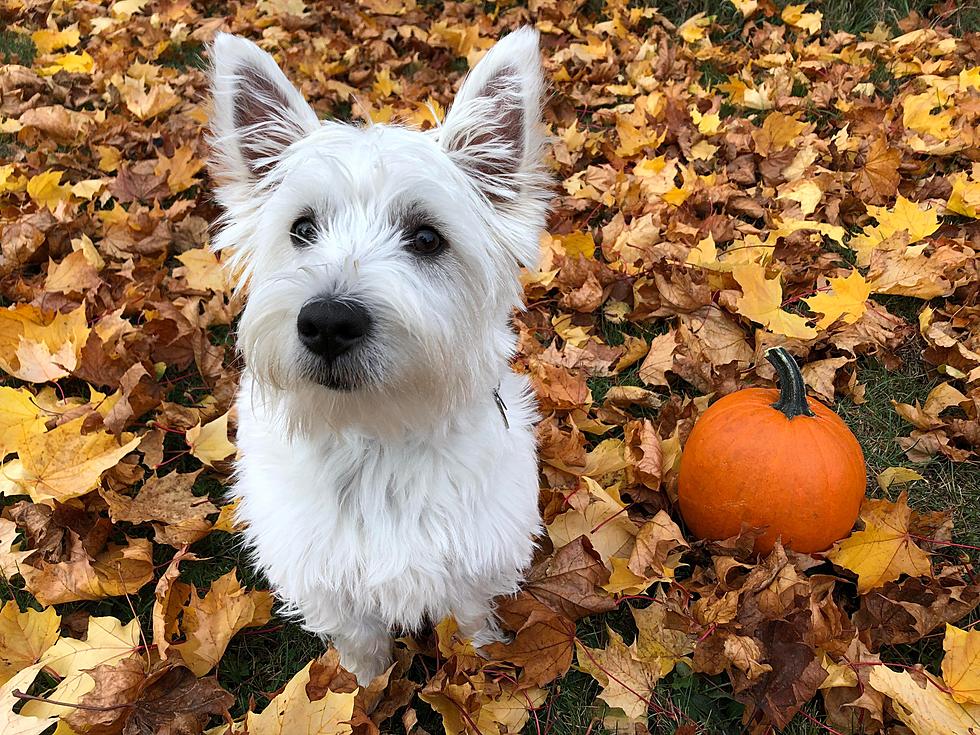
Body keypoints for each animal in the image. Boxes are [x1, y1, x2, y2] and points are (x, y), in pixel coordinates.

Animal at [208, 27, 552, 684]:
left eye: (427, 238)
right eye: (302, 228)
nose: (326, 322)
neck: (377, 440)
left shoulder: (474, 563)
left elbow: (469, 622)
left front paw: (482, 667)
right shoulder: (328, 583)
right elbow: (361, 648)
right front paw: (360, 688)